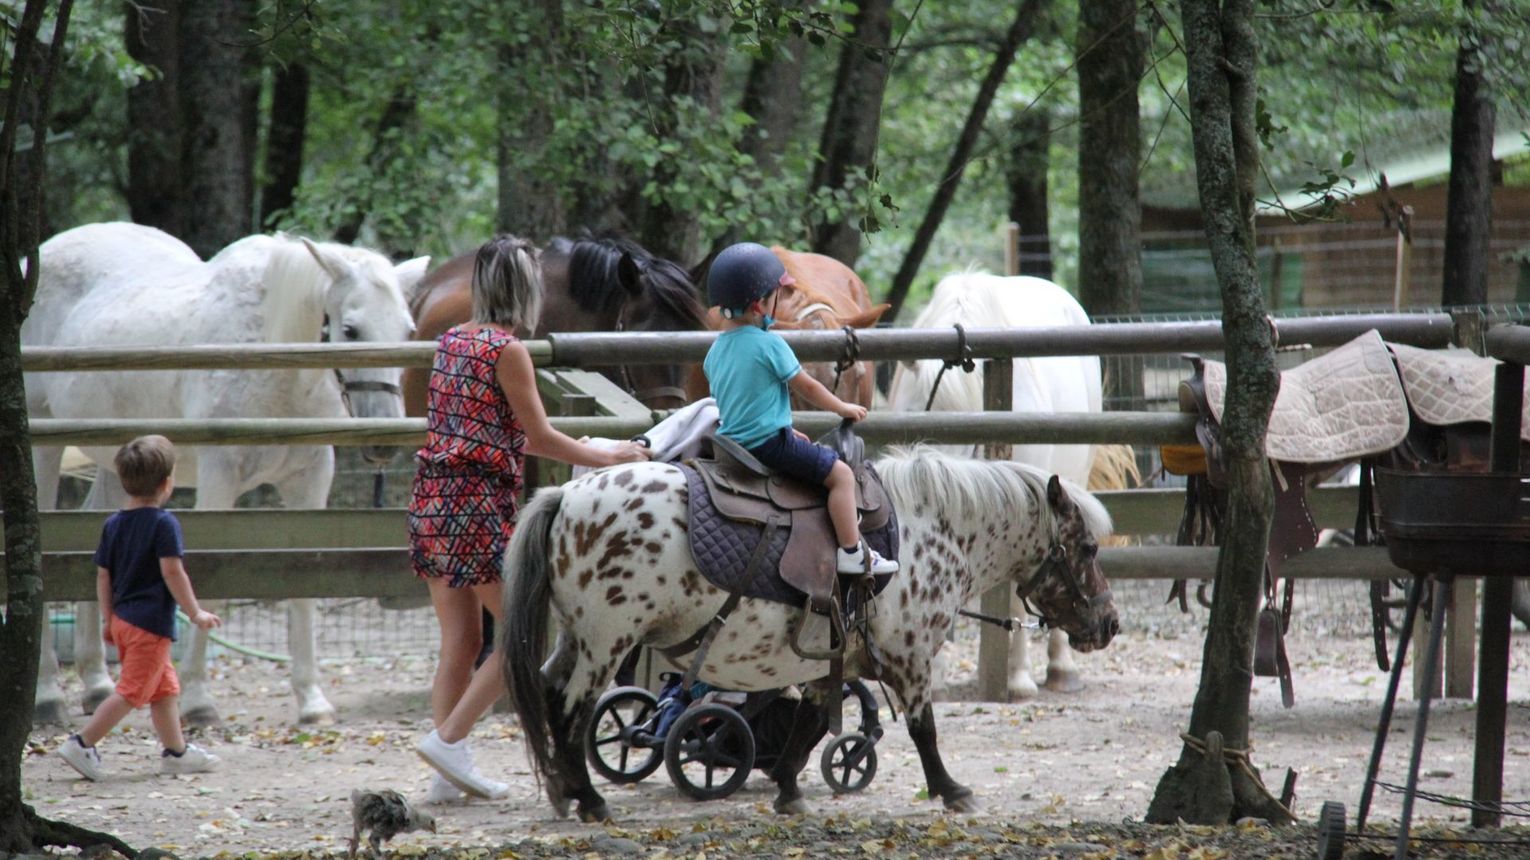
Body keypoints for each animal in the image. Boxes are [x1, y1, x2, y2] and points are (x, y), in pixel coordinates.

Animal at [28, 218, 425, 722]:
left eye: (408, 330)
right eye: (350, 329)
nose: (384, 441)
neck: (275, 356)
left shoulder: (310, 481)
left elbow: (307, 587)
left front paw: (312, 701)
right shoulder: (220, 480)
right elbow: (206, 586)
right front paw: (198, 702)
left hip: (118, 459)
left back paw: (98, 685)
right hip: (44, 446)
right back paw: (47, 694)